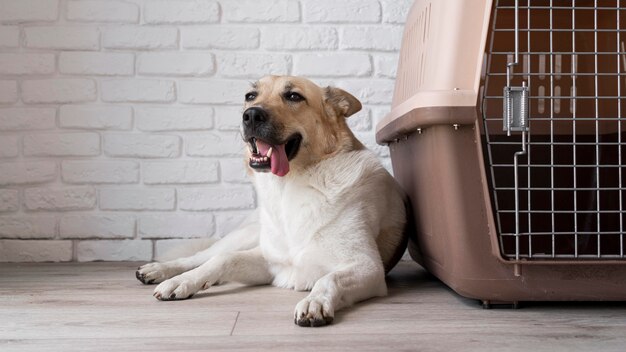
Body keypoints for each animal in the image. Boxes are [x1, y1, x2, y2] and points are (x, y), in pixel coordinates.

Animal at [136, 75, 408, 328]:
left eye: (294, 96)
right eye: (250, 96)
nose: (251, 115)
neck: (289, 187)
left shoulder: (367, 267)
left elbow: (328, 279)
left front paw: (314, 301)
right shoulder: (269, 261)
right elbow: (223, 259)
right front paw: (183, 282)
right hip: (245, 235)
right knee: (203, 255)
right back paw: (161, 271)